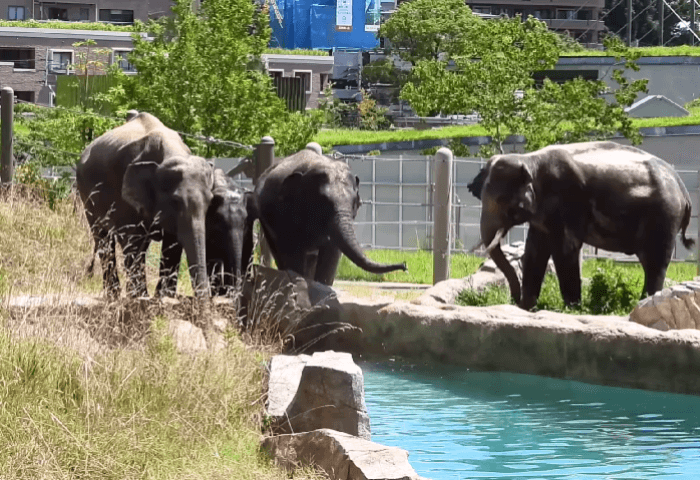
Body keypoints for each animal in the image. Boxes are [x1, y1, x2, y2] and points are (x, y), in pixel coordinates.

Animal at [75, 113, 215, 298]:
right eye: (175, 201)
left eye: (210, 201)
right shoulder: (126, 197)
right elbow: (133, 241)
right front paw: (141, 298)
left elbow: (173, 245)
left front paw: (162, 297)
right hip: (86, 194)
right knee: (103, 238)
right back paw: (113, 296)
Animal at [247, 146, 408, 284]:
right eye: (323, 202)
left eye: (355, 202)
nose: (405, 265)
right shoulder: (285, 213)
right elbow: (294, 253)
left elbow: (331, 254)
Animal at [468, 140, 692, 312]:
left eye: (501, 200)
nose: (513, 300)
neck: (529, 159)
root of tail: (683, 189)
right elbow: (534, 251)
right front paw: (527, 308)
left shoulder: (568, 200)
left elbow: (565, 249)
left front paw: (572, 309)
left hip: (664, 216)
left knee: (655, 263)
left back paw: (643, 302)